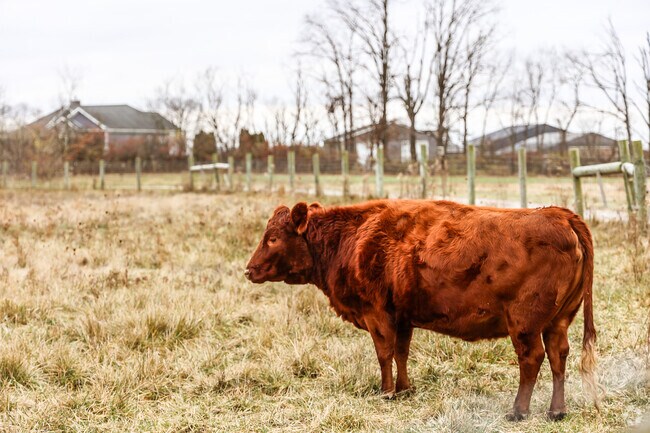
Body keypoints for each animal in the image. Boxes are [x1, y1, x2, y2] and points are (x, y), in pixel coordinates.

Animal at [245, 199, 598, 421]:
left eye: (272, 238)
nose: (249, 270)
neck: (353, 237)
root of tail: (561, 215)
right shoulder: (403, 318)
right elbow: (401, 353)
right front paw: (405, 389)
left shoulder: (377, 315)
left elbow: (384, 354)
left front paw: (386, 392)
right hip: (558, 322)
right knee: (558, 356)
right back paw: (556, 411)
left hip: (524, 325)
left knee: (532, 359)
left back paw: (518, 411)